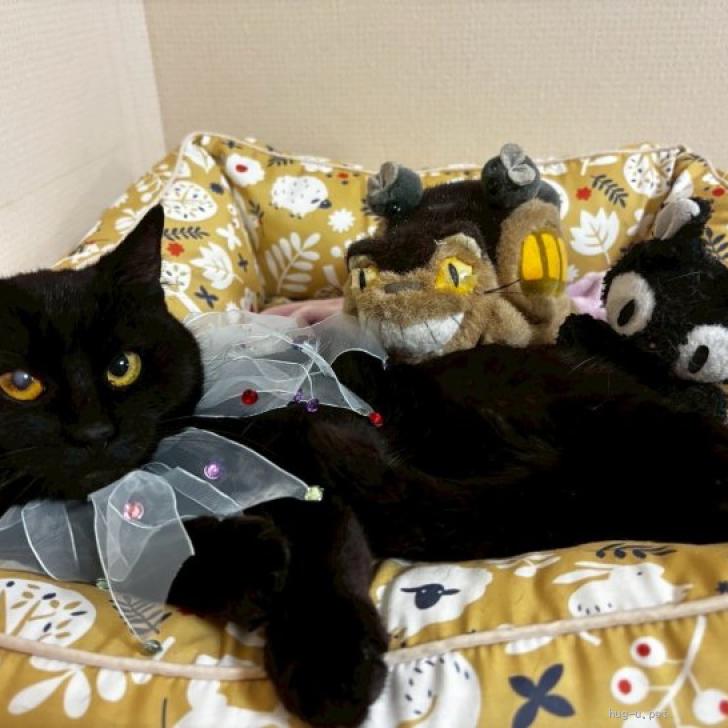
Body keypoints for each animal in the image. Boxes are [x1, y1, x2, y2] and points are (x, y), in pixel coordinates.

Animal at [2, 205, 728, 727]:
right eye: (19, 384)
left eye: (122, 366)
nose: (95, 433)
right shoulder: (61, 530)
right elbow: (132, 549)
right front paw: (247, 567)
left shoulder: (308, 456)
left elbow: (320, 552)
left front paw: (330, 668)